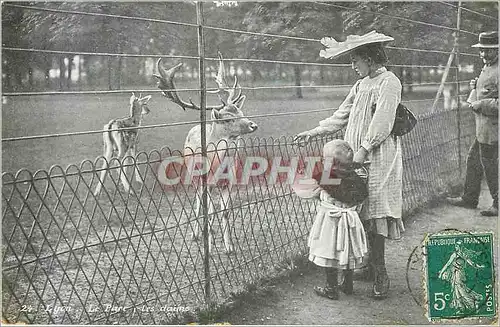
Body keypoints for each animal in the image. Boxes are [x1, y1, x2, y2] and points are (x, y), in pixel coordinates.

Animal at [154, 53, 258, 254]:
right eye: (228, 118)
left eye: (241, 111)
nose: (253, 125)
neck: (217, 165)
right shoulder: (205, 182)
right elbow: (208, 213)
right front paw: (209, 244)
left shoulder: (230, 182)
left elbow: (225, 212)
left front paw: (229, 247)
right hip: (193, 175)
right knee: (198, 202)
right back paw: (196, 234)